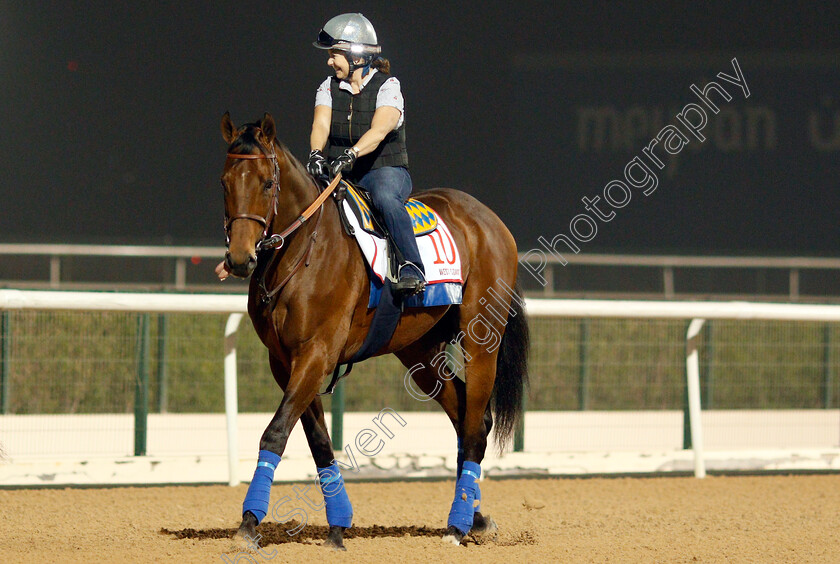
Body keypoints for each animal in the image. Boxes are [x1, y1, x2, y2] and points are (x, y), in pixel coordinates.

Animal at [220, 112, 528, 548]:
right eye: (225, 183)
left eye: (266, 182)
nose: (240, 259)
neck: (303, 251)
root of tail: (490, 221)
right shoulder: (284, 361)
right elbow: (318, 441)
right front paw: (337, 524)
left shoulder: (316, 353)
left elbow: (275, 433)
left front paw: (249, 523)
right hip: (420, 350)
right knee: (470, 418)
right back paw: (475, 516)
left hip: (481, 340)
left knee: (472, 428)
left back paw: (457, 526)